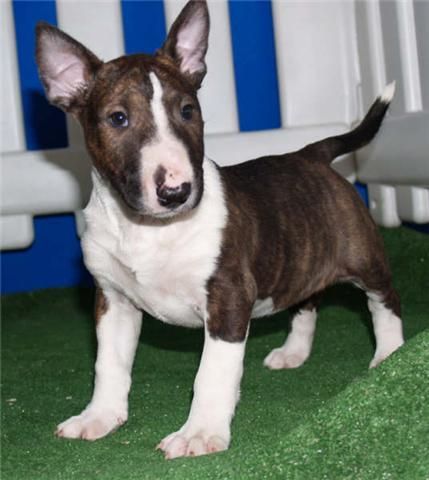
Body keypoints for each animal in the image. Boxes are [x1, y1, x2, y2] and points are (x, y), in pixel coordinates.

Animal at [36, 0, 402, 462]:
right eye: (118, 118)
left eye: (187, 111)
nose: (176, 191)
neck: (149, 229)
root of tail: (312, 153)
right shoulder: (113, 301)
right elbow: (109, 364)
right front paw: (98, 417)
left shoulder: (228, 297)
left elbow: (211, 372)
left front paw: (199, 433)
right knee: (307, 301)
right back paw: (293, 353)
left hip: (362, 257)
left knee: (383, 301)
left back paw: (389, 354)